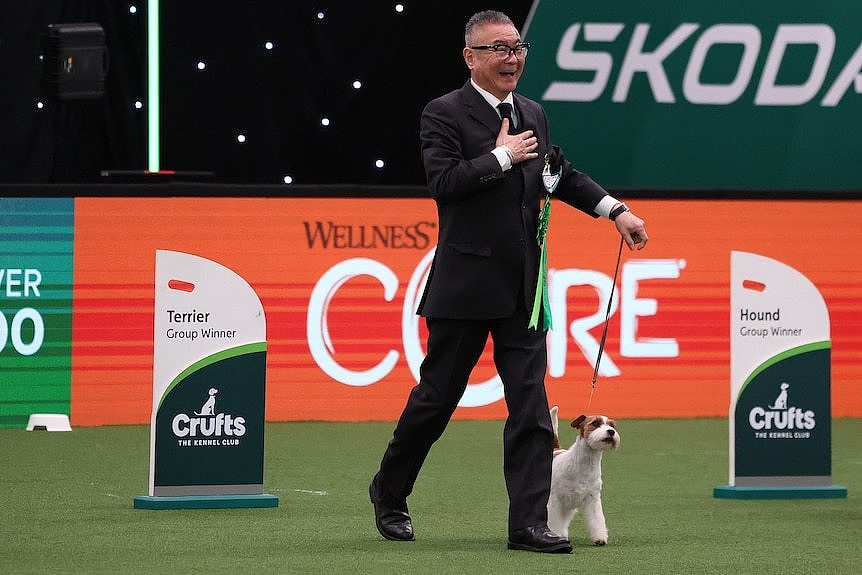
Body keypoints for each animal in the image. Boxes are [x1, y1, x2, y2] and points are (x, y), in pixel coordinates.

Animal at [552, 408, 616, 548]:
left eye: (612, 425)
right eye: (595, 423)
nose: (611, 432)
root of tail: (556, 450)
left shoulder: (593, 498)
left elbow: (597, 519)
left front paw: (600, 538)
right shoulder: (554, 500)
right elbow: (552, 520)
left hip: (568, 505)